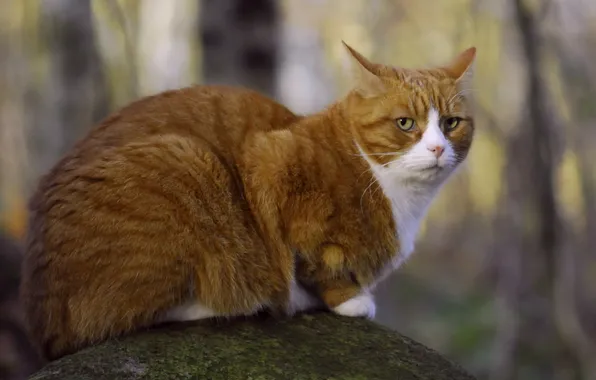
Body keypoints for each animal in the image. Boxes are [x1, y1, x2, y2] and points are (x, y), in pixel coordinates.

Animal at [18, 41, 478, 360]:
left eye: (451, 123)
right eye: (406, 124)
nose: (438, 149)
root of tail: (40, 317)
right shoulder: (267, 164)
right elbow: (312, 261)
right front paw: (346, 298)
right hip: (187, 160)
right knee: (115, 318)